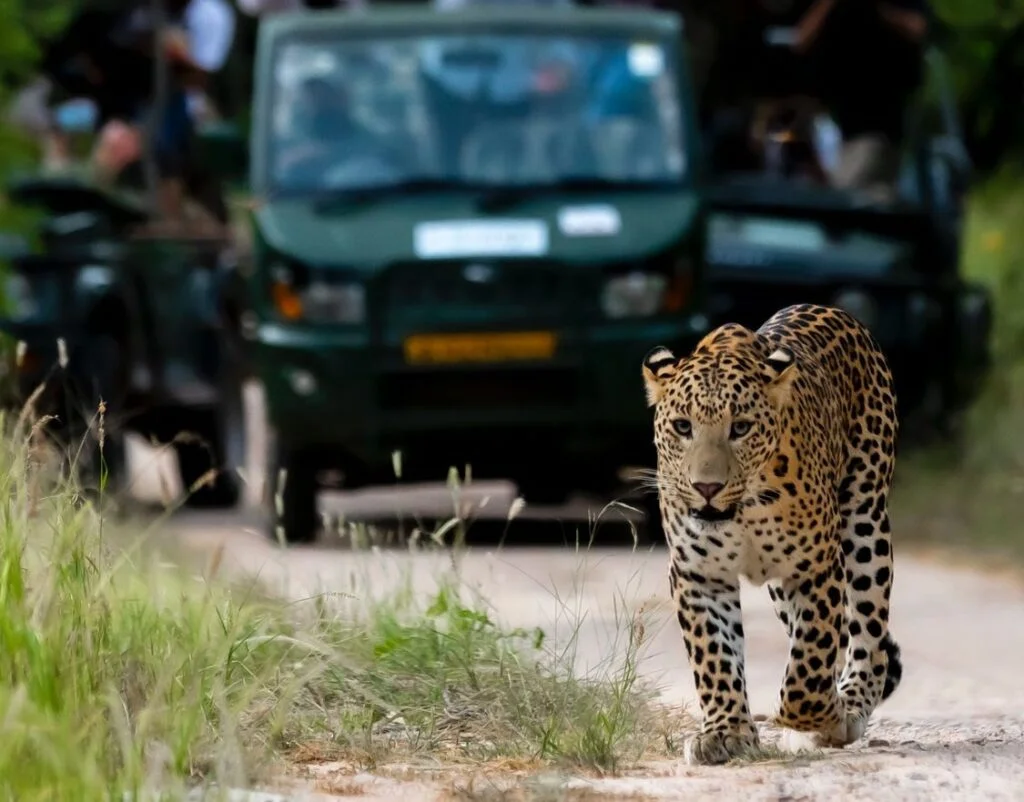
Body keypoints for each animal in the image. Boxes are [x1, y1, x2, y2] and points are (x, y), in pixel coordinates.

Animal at [641, 303, 903, 766]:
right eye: (683, 427)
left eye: (741, 428)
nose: (707, 487)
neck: (743, 511)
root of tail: (826, 308)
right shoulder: (698, 574)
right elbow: (715, 655)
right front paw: (725, 732)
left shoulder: (815, 568)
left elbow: (810, 664)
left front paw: (823, 714)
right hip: (782, 585)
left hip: (865, 520)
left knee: (867, 629)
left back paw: (851, 702)